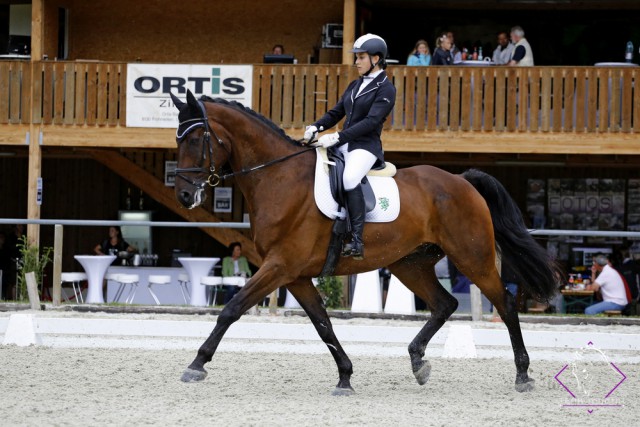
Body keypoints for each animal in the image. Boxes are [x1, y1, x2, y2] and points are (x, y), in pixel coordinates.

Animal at [169, 90, 560, 398]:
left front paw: (196, 364)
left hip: (471, 257)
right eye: (177, 140)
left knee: (505, 303)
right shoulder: (295, 275)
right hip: (409, 263)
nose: (185, 195)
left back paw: (523, 374)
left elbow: (231, 309)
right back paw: (418, 361)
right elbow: (322, 324)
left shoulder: (279, 266)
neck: (279, 177)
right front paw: (345, 377)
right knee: (444, 303)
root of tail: (462, 180)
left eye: (196, 139)